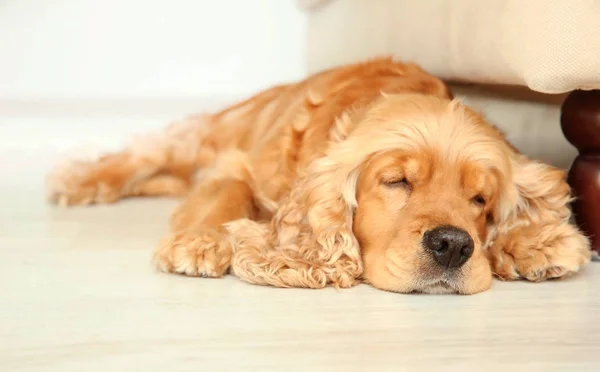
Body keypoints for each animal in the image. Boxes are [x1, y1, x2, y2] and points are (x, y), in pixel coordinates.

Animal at [47, 58, 592, 296]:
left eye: (480, 199)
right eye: (397, 182)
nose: (454, 247)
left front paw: (534, 244)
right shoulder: (239, 166)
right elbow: (225, 193)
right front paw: (199, 242)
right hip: (209, 134)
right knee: (144, 153)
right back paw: (78, 180)